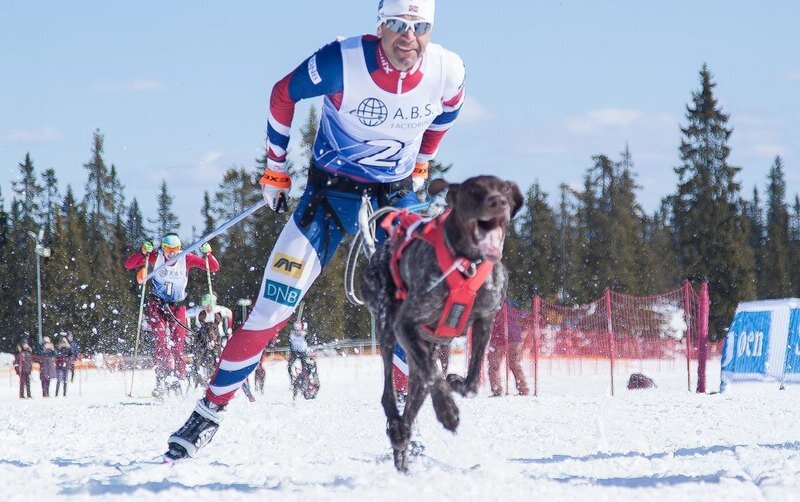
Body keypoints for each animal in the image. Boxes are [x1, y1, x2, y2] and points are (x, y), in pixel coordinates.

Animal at [361, 175, 522, 472]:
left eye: (505, 188)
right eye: (473, 190)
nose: (498, 202)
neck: (468, 262)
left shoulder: (485, 320)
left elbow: (472, 381)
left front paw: (457, 382)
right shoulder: (406, 325)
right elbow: (435, 376)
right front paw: (447, 410)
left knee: (412, 402)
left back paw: (402, 443)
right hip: (388, 325)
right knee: (389, 390)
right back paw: (397, 426)